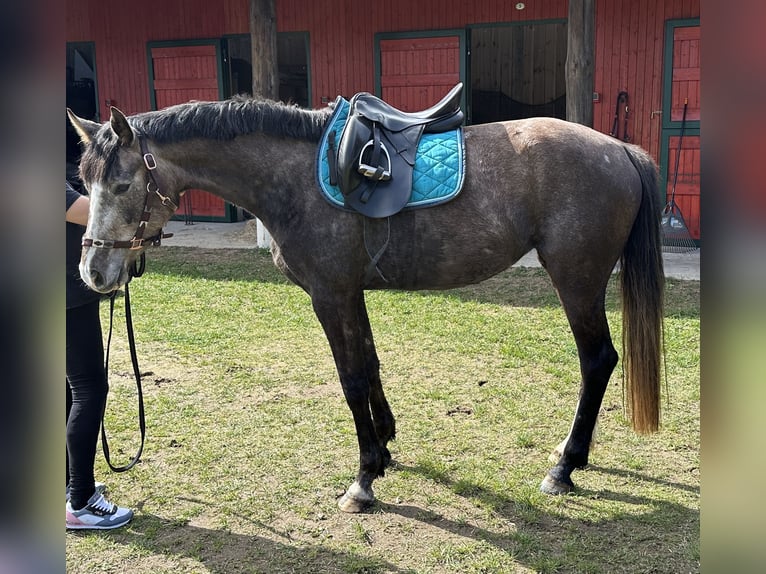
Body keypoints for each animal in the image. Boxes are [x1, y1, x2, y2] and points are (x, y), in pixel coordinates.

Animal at [67, 92, 664, 516]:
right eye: (85, 183)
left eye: (122, 185)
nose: (94, 274)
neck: (297, 179)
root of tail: (620, 150)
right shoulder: (351, 293)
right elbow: (372, 365)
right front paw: (386, 448)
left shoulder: (331, 296)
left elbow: (351, 379)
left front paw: (363, 479)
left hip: (577, 281)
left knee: (598, 360)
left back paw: (565, 467)